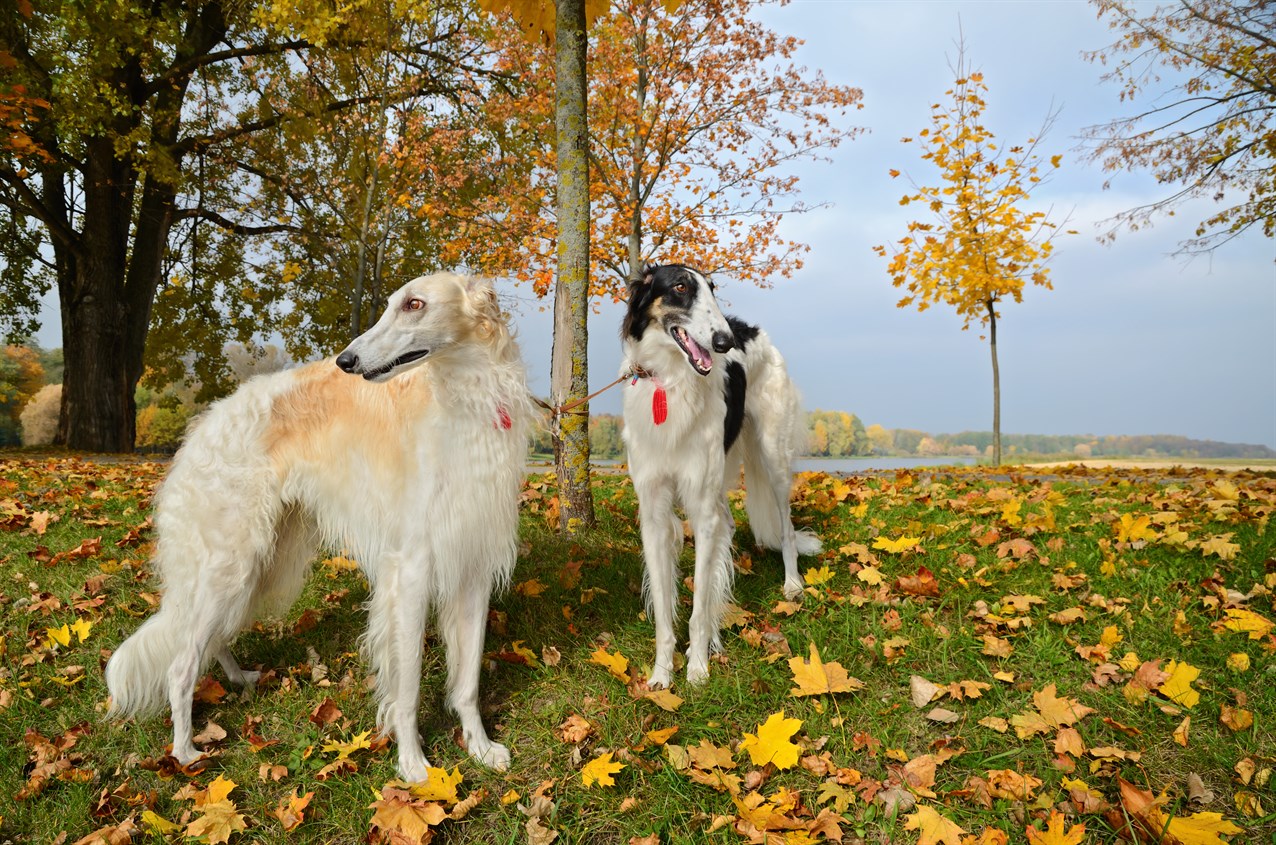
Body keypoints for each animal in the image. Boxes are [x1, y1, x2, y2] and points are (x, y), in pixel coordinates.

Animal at [103, 274, 533, 786]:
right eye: (393, 303)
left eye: (414, 304)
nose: (346, 361)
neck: (466, 401)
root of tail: (203, 428)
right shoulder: (410, 570)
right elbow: (407, 686)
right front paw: (413, 765)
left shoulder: (473, 568)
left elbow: (467, 682)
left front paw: (481, 748)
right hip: (231, 559)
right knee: (181, 665)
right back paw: (185, 752)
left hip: (260, 562)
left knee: (211, 638)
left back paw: (238, 679)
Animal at [620, 265, 821, 689]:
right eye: (680, 286)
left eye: (712, 290)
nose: (724, 342)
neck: (671, 381)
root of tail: (751, 329)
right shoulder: (654, 511)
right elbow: (665, 610)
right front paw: (662, 674)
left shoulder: (701, 506)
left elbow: (697, 606)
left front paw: (698, 668)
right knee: (728, 530)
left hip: (772, 457)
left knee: (785, 526)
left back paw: (792, 584)